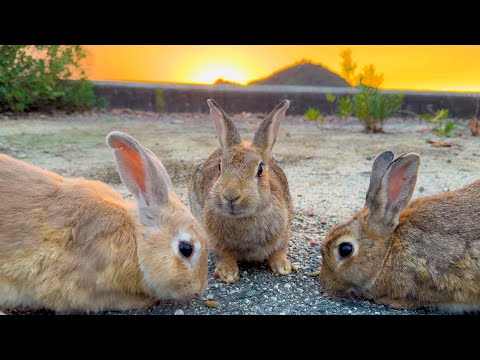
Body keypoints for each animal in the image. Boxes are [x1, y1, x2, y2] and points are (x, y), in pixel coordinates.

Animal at [188, 99, 294, 284]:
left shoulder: (284, 229)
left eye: (260, 170)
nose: (230, 196)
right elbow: (224, 253)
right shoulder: (216, 239)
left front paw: (282, 267)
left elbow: (279, 249)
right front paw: (228, 273)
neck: (245, 218)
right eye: (220, 167)